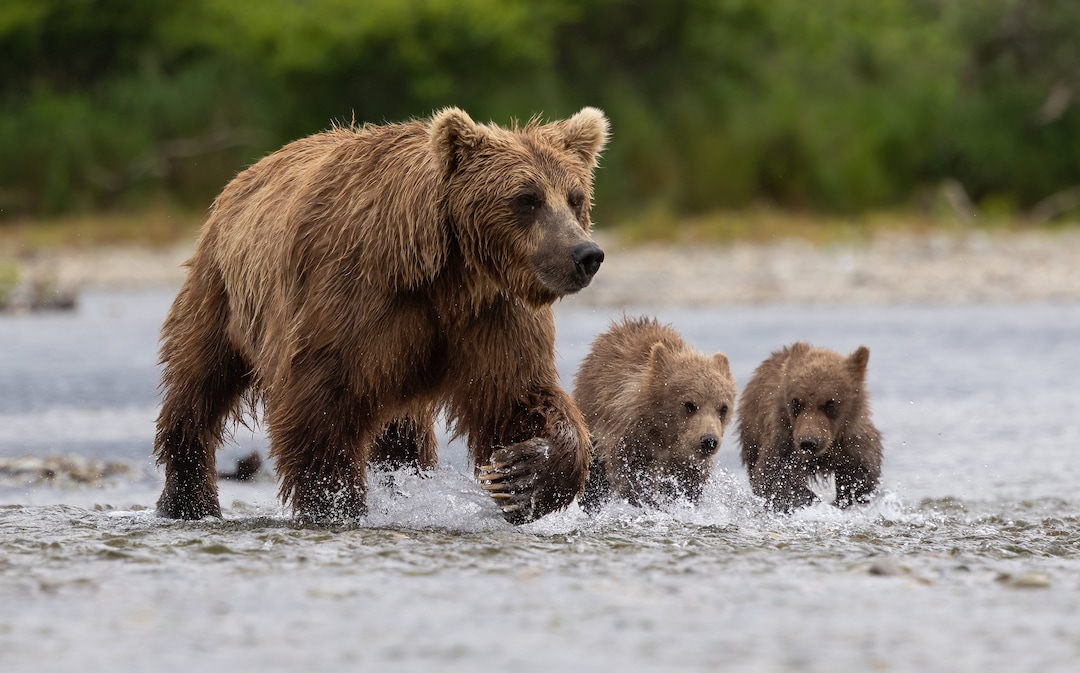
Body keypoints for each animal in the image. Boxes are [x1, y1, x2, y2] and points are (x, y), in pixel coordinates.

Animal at [152, 107, 609, 525]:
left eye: (575, 198)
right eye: (526, 198)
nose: (585, 254)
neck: (446, 276)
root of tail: (245, 176)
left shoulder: (490, 315)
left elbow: (518, 395)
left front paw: (522, 474)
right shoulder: (352, 303)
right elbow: (320, 406)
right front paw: (335, 504)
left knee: (403, 435)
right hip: (223, 293)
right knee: (198, 385)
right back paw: (188, 501)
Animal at [574, 316, 736, 510]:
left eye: (723, 408)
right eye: (690, 404)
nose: (709, 441)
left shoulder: (685, 459)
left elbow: (688, 482)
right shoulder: (630, 434)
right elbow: (632, 475)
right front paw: (644, 501)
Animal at [738, 342, 883, 512]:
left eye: (830, 403)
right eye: (796, 401)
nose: (808, 442)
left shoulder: (852, 442)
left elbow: (861, 476)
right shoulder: (784, 439)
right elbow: (774, 477)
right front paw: (809, 500)